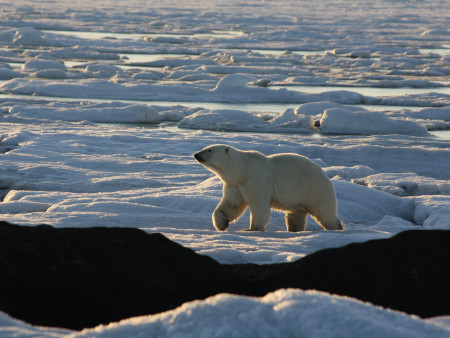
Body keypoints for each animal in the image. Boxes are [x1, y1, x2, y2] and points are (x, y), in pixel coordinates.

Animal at [194, 144, 344, 231]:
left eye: (209, 149)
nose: (196, 154)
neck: (243, 170)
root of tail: (324, 174)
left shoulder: (257, 178)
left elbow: (259, 204)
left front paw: (252, 228)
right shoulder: (235, 185)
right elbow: (231, 205)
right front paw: (222, 223)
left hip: (315, 189)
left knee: (325, 213)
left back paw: (336, 227)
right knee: (295, 216)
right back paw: (294, 229)